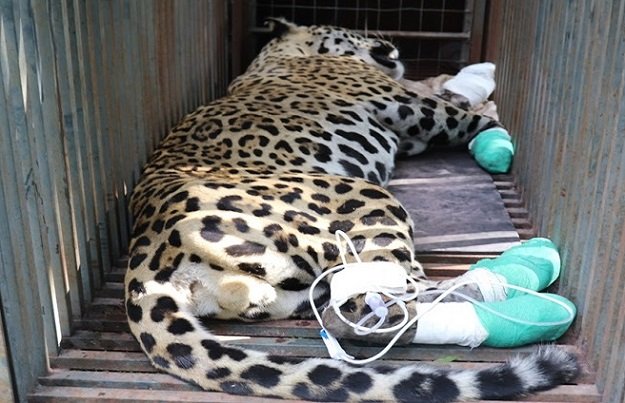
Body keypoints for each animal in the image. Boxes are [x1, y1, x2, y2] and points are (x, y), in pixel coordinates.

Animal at [125, 18, 579, 402]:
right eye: (354, 30)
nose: (390, 44)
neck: (278, 56)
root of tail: (147, 247)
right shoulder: (411, 106)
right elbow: (468, 117)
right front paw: (489, 123)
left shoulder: (409, 133)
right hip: (367, 201)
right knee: (371, 306)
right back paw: (513, 291)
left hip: (285, 289)